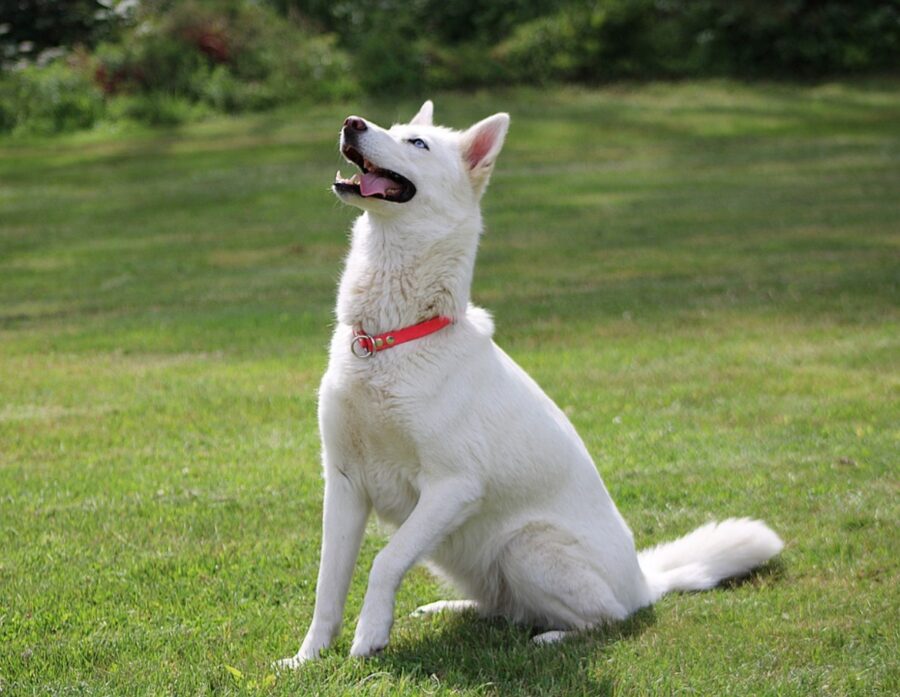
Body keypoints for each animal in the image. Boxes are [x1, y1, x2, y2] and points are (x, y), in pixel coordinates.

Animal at [278, 102, 784, 664]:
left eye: (417, 143)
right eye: (390, 126)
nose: (353, 123)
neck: (392, 338)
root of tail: (644, 583)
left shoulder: (453, 486)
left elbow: (385, 559)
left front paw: (369, 636)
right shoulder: (344, 483)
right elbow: (328, 583)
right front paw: (306, 659)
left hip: (525, 545)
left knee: (605, 618)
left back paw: (552, 638)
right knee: (504, 608)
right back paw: (451, 609)